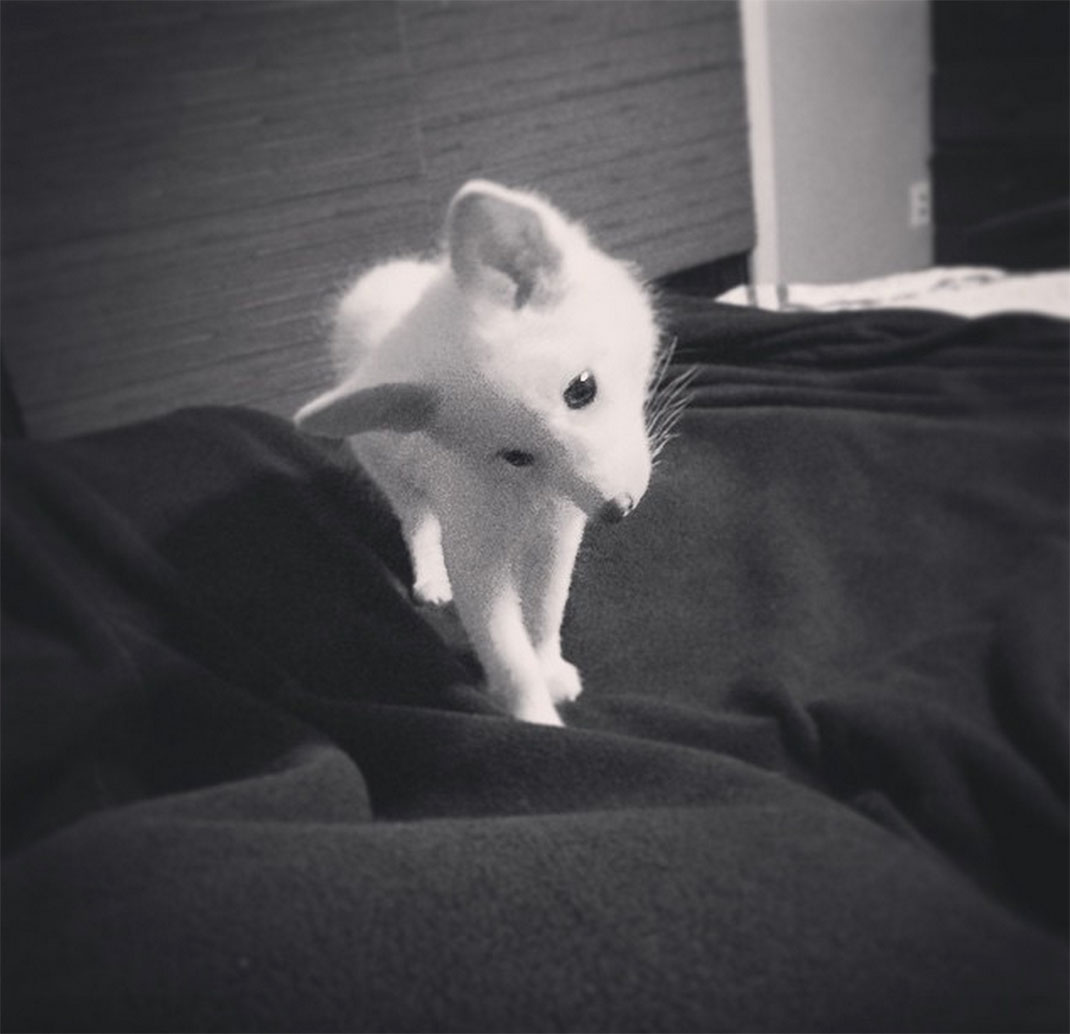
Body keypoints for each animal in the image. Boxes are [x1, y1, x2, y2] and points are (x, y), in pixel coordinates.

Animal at [295, 180, 686, 726]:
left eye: (581, 389)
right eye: (515, 455)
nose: (617, 509)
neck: (526, 497)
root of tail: (378, 278)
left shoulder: (559, 530)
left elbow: (545, 608)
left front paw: (549, 666)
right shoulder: (475, 548)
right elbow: (505, 647)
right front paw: (536, 717)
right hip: (388, 467)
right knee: (417, 520)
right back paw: (430, 576)